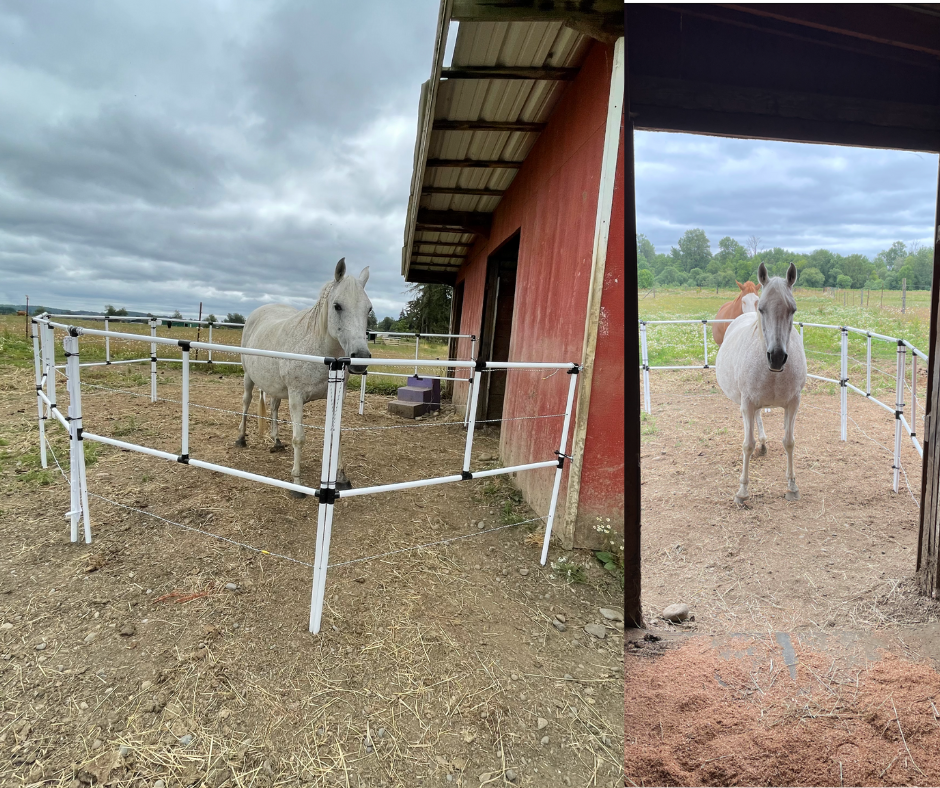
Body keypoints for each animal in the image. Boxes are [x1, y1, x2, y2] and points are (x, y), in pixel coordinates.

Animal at [233, 258, 372, 498]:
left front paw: (342, 478)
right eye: (337, 306)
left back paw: (277, 441)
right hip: (248, 378)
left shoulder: (337, 396)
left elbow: (338, 435)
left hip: (277, 388)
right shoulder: (296, 397)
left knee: (274, 407)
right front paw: (296, 484)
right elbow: (299, 438)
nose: (360, 359)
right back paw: (241, 439)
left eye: (369, 309)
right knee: (246, 402)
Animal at [716, 262, 804, 502]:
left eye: (792, 309)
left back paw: (764, 445)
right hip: (746, 402)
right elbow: (747, 444)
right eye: (762, 309)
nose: (776, 357)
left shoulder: (793, 404)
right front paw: (742, 492)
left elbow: (789, 442)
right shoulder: (747, 403)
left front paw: (792, 486)